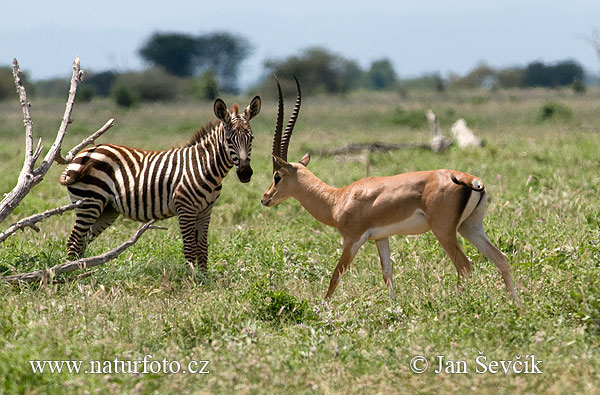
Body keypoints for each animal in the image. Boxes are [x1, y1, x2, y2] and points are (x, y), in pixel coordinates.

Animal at [58, 96, 260, 270]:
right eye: (229, 140)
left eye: (251, 138)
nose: (245, 173)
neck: (204, 166)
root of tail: (83, 154)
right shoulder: (185, 209)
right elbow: (190, 247)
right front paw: (191, 279)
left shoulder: (205, 211)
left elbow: (202, 248)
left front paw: (204, 277)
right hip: (89, 202)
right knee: (74, 240)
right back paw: (73, 274)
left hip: (107, 209)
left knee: (82, 241)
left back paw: (81, 270)